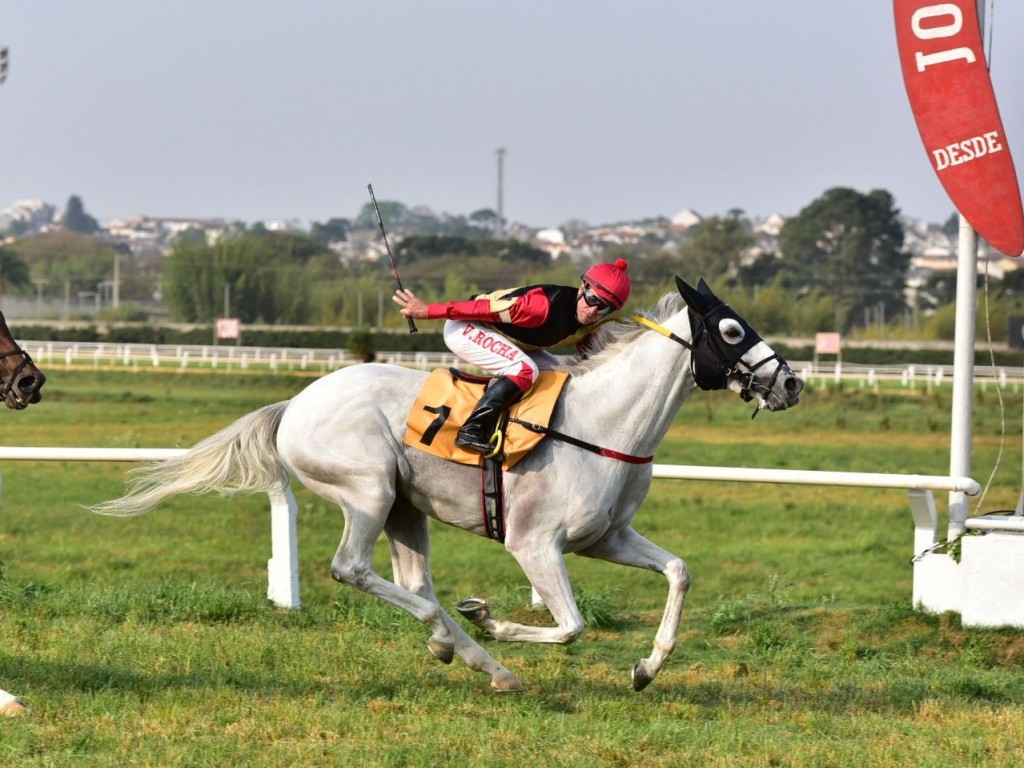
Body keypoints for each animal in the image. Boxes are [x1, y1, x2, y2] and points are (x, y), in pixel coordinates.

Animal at [94, 280, 798, 696]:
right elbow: (570, 626)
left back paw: (476, 659)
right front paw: (494, 620)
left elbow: (678, 571)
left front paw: (648, 667)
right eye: (730, 331)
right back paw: (465, 642)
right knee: (353, 569)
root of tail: (294, 404)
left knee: (413, 583)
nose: (791, 382)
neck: (603, 426)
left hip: (406, 507)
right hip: (369, 489)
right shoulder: (534, 544)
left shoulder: (606, 537)